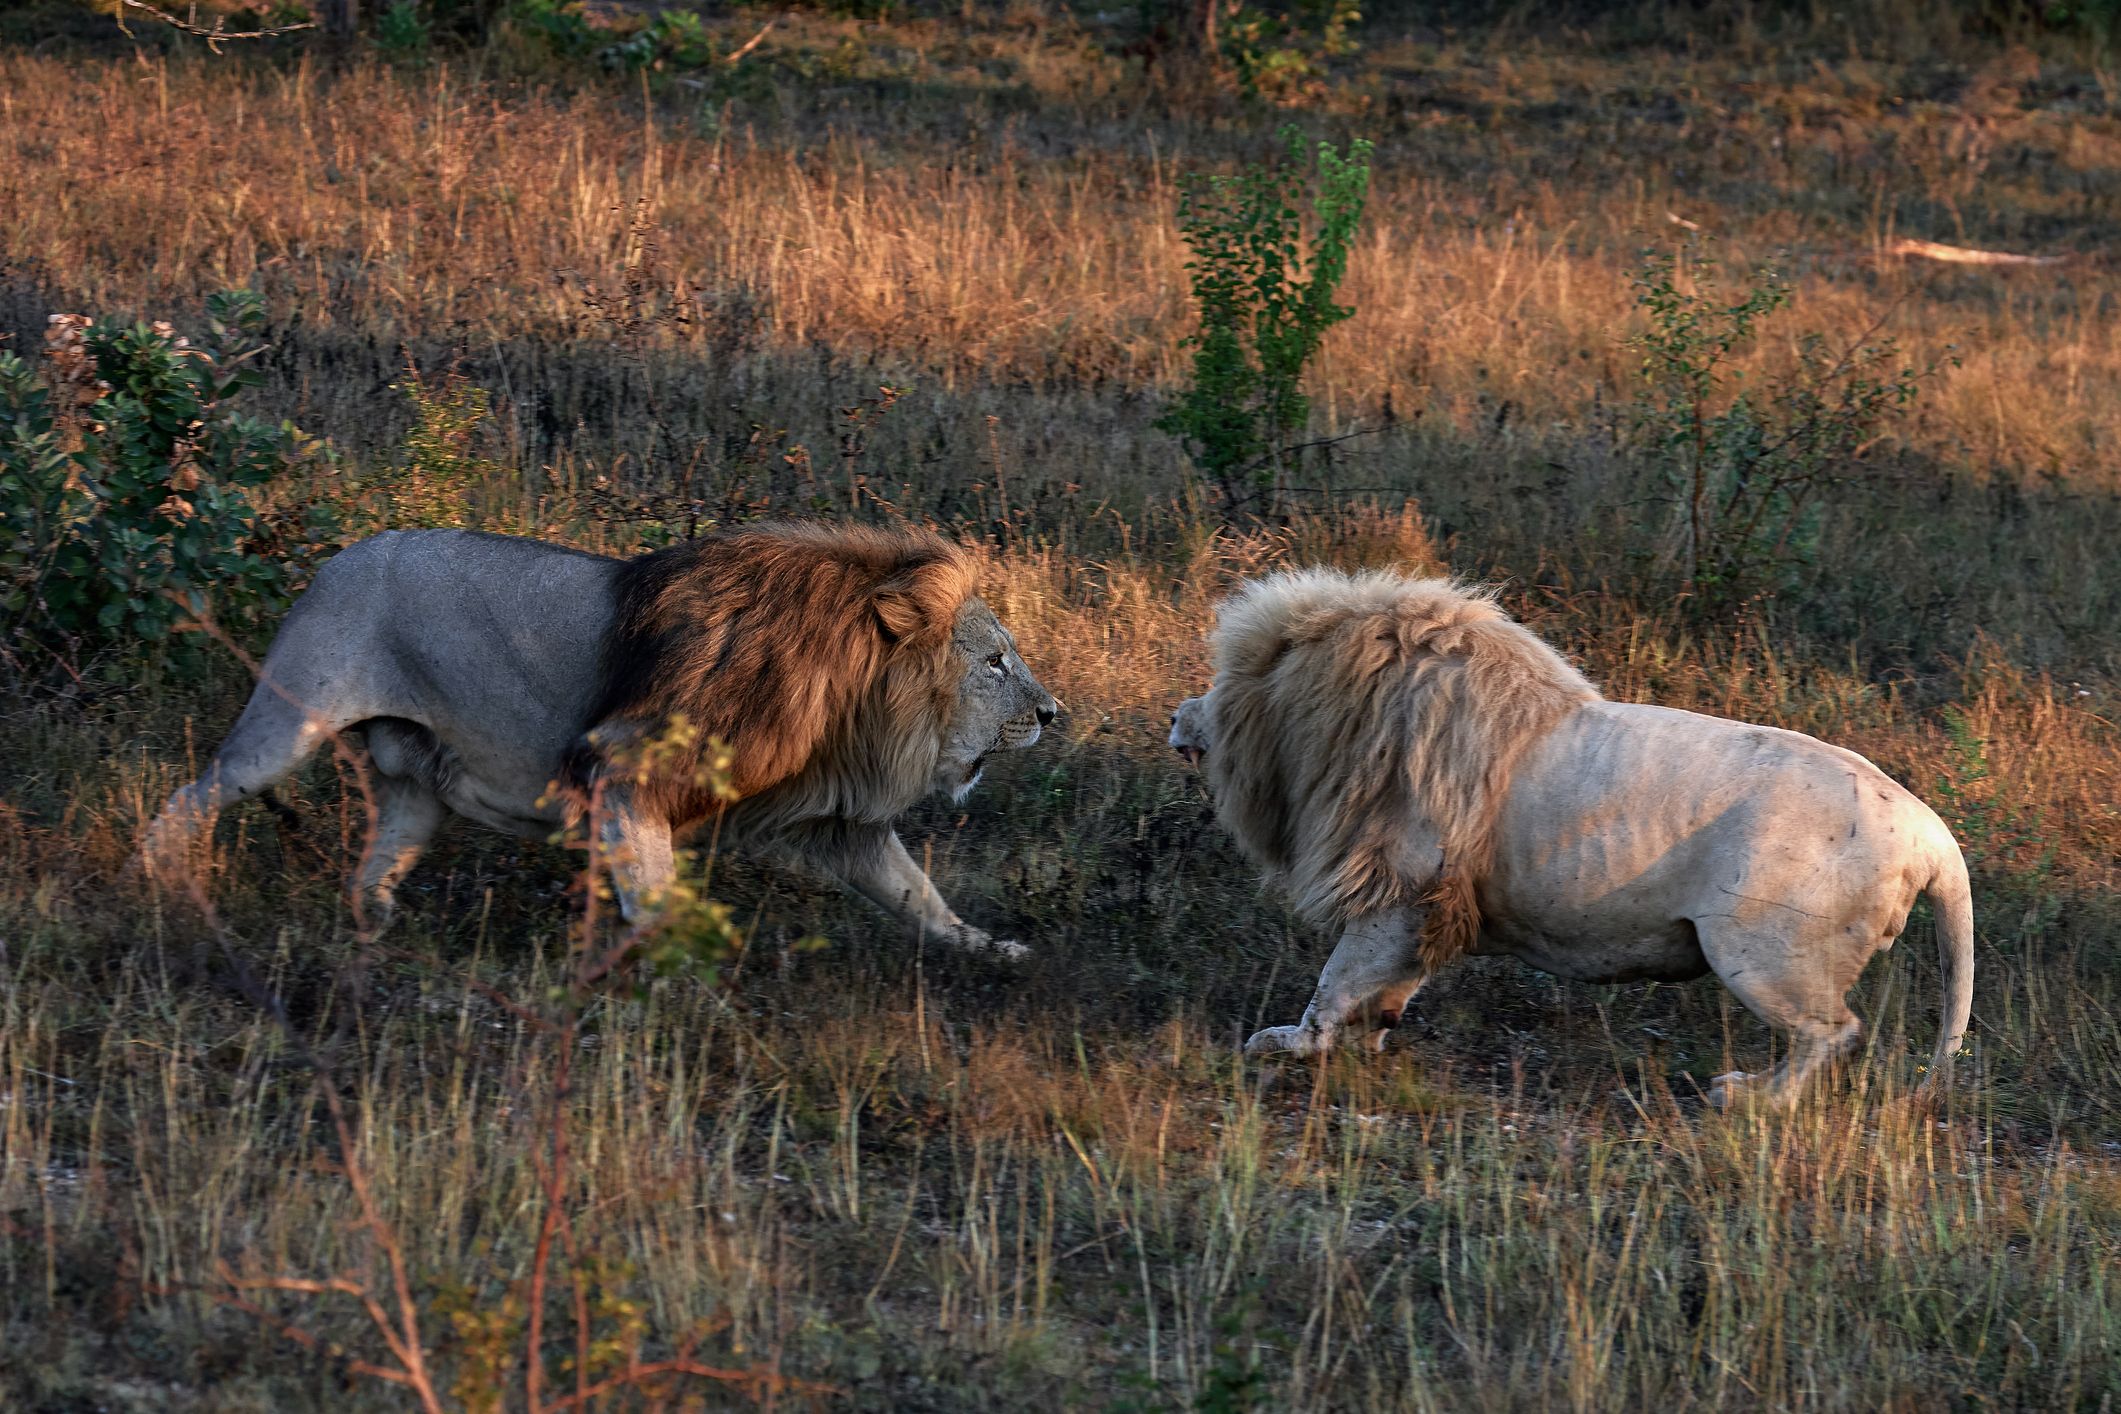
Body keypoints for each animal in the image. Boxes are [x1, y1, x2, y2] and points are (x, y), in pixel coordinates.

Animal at [145, 525, 1056, 958]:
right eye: (995, 662)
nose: (1053, 714)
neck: (853, 696)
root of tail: (334, 559)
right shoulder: (620, 768)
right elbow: (653, 894)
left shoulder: (835, 819)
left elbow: (917, 893)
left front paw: (994, 951)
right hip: (287, 724)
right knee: (190, 796)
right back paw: (164, 883)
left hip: (416, 788)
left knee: (372, 869)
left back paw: (377, 935)